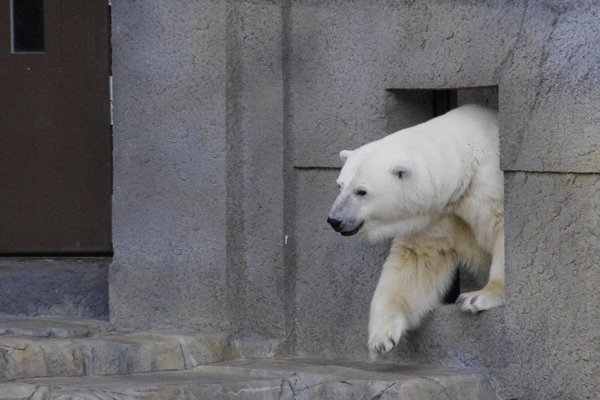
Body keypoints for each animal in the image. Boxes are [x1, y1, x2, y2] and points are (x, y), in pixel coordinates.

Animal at [326, 103, 504, 360]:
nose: (335, 220)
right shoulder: (438, 214)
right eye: (340, 185)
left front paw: (476, 296)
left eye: (361, 191)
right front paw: (382, 339)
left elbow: (501, 232)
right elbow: (417, 260)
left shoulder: (488, 185)